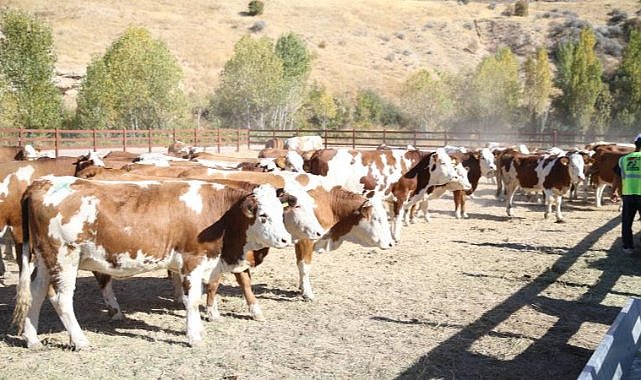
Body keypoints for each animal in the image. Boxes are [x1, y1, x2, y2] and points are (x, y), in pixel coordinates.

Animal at [13, 177, 292, 348]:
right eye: (263, 215)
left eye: (281, 213)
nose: (286, 239)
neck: (220, 215)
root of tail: (41, 182)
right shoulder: (192, 261)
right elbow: (192, 301)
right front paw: (194, 336)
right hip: (64, 257)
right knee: (62, 299)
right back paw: (80, 341)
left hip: (46, 260)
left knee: (36, 294)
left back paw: (32, 339)